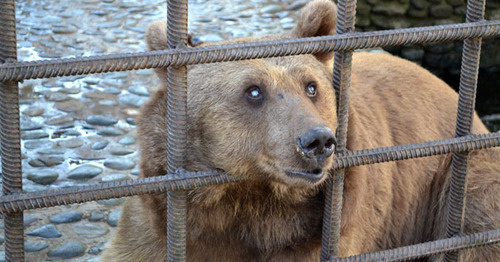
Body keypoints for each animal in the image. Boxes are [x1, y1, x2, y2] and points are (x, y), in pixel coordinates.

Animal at [99, 1, 498, 260]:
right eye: (253, 90)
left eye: (311, 86)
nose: (318, 141)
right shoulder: (160, 216)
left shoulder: (320, 232)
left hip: (458, 178)